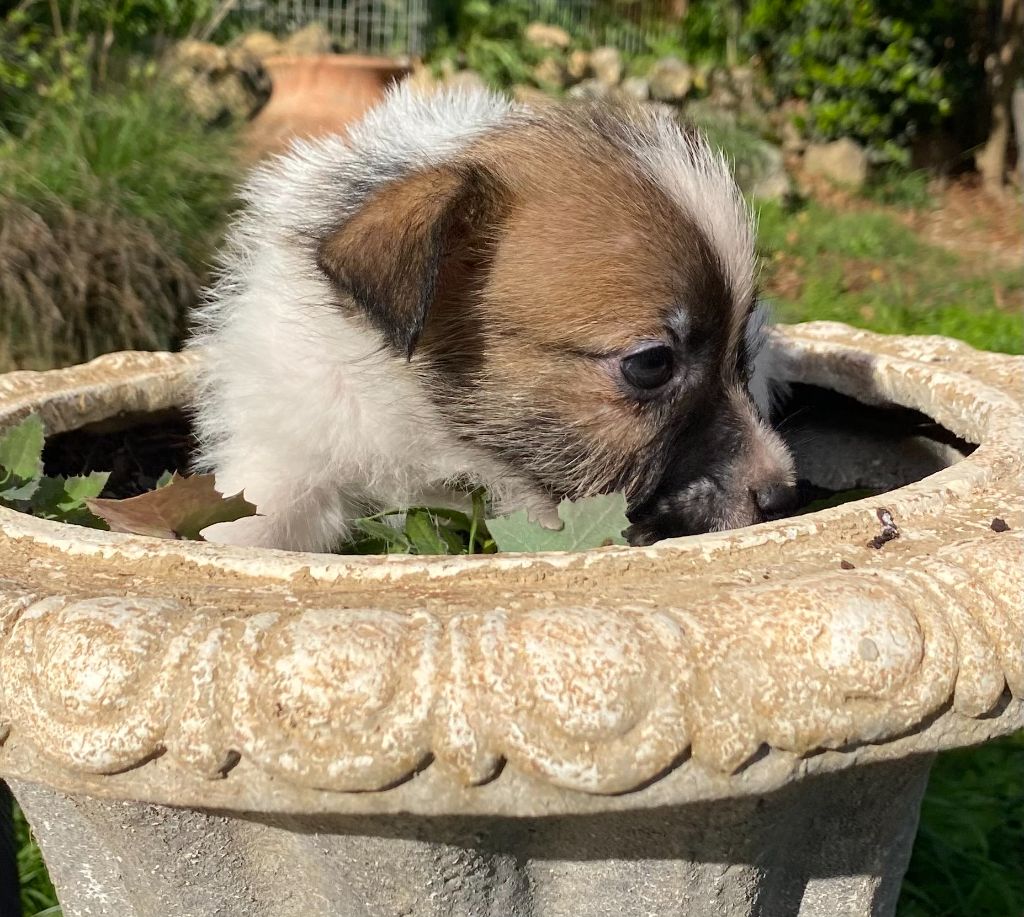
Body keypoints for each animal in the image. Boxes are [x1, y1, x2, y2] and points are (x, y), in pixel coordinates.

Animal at [193, 83, 798, 552]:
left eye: (742, 353)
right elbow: (256, 523)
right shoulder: (288, 444)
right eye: (652, 364)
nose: (784, 495)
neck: (437, 438)